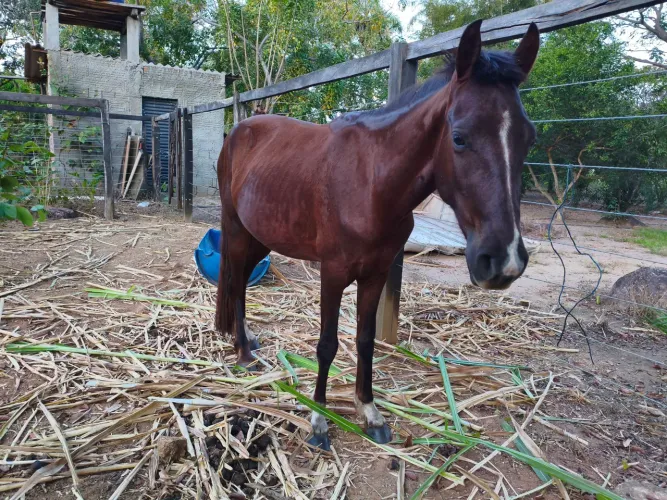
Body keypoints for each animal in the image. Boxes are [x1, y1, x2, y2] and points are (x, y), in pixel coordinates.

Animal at [215, 20, 540, 450]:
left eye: (529, 138)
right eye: (459, 137)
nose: (504, 261)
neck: (370, 181)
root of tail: (239, 130)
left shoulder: (376, 274)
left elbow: (365, 340)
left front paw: (369, 412)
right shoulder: (333, 273)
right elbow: (327, 344)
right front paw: (319, 421)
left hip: (260, 235)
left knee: (240, 282)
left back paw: (248, 339)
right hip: (237, 229)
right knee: (235, 282)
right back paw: (243, 354)